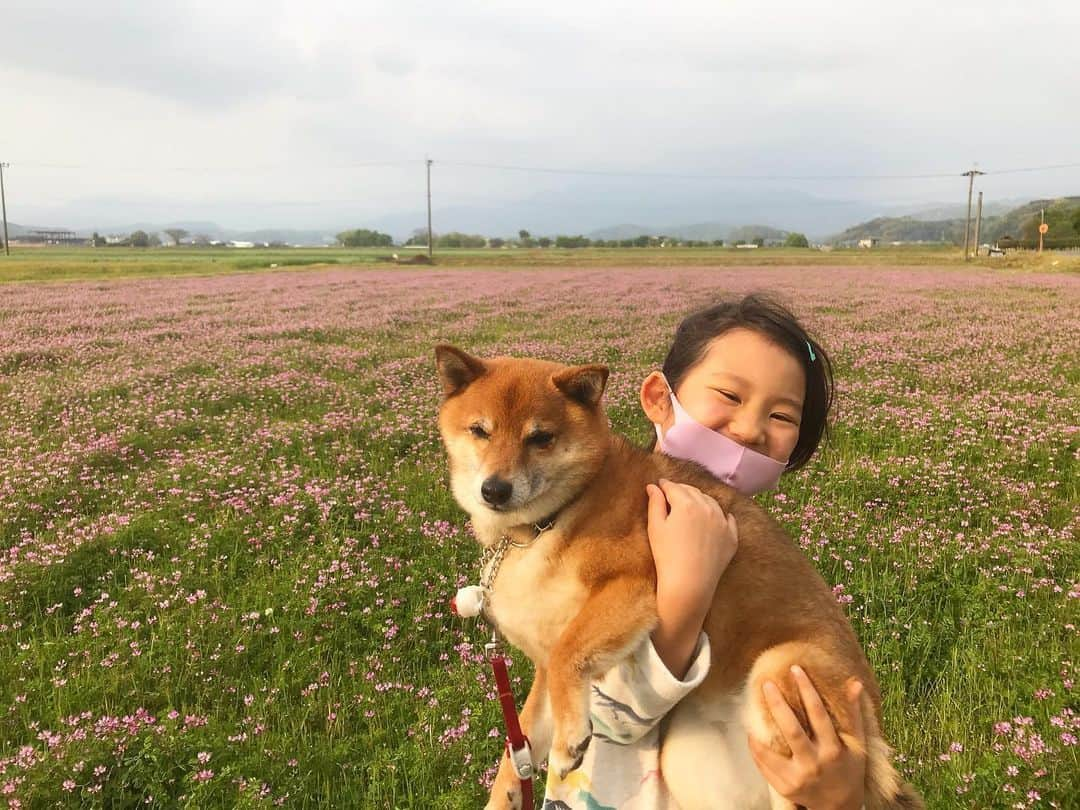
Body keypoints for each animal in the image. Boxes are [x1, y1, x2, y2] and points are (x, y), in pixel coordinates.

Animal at [434, 343, 924, 810]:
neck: (549, 521)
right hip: (693, 758)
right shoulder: (543, 662)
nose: (495, 489)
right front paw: (506, 792)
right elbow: (520, 739)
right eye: (480, 430)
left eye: (540, 438)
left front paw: (570, 738)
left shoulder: (633, 586)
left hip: (782, 667)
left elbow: (568, 656)